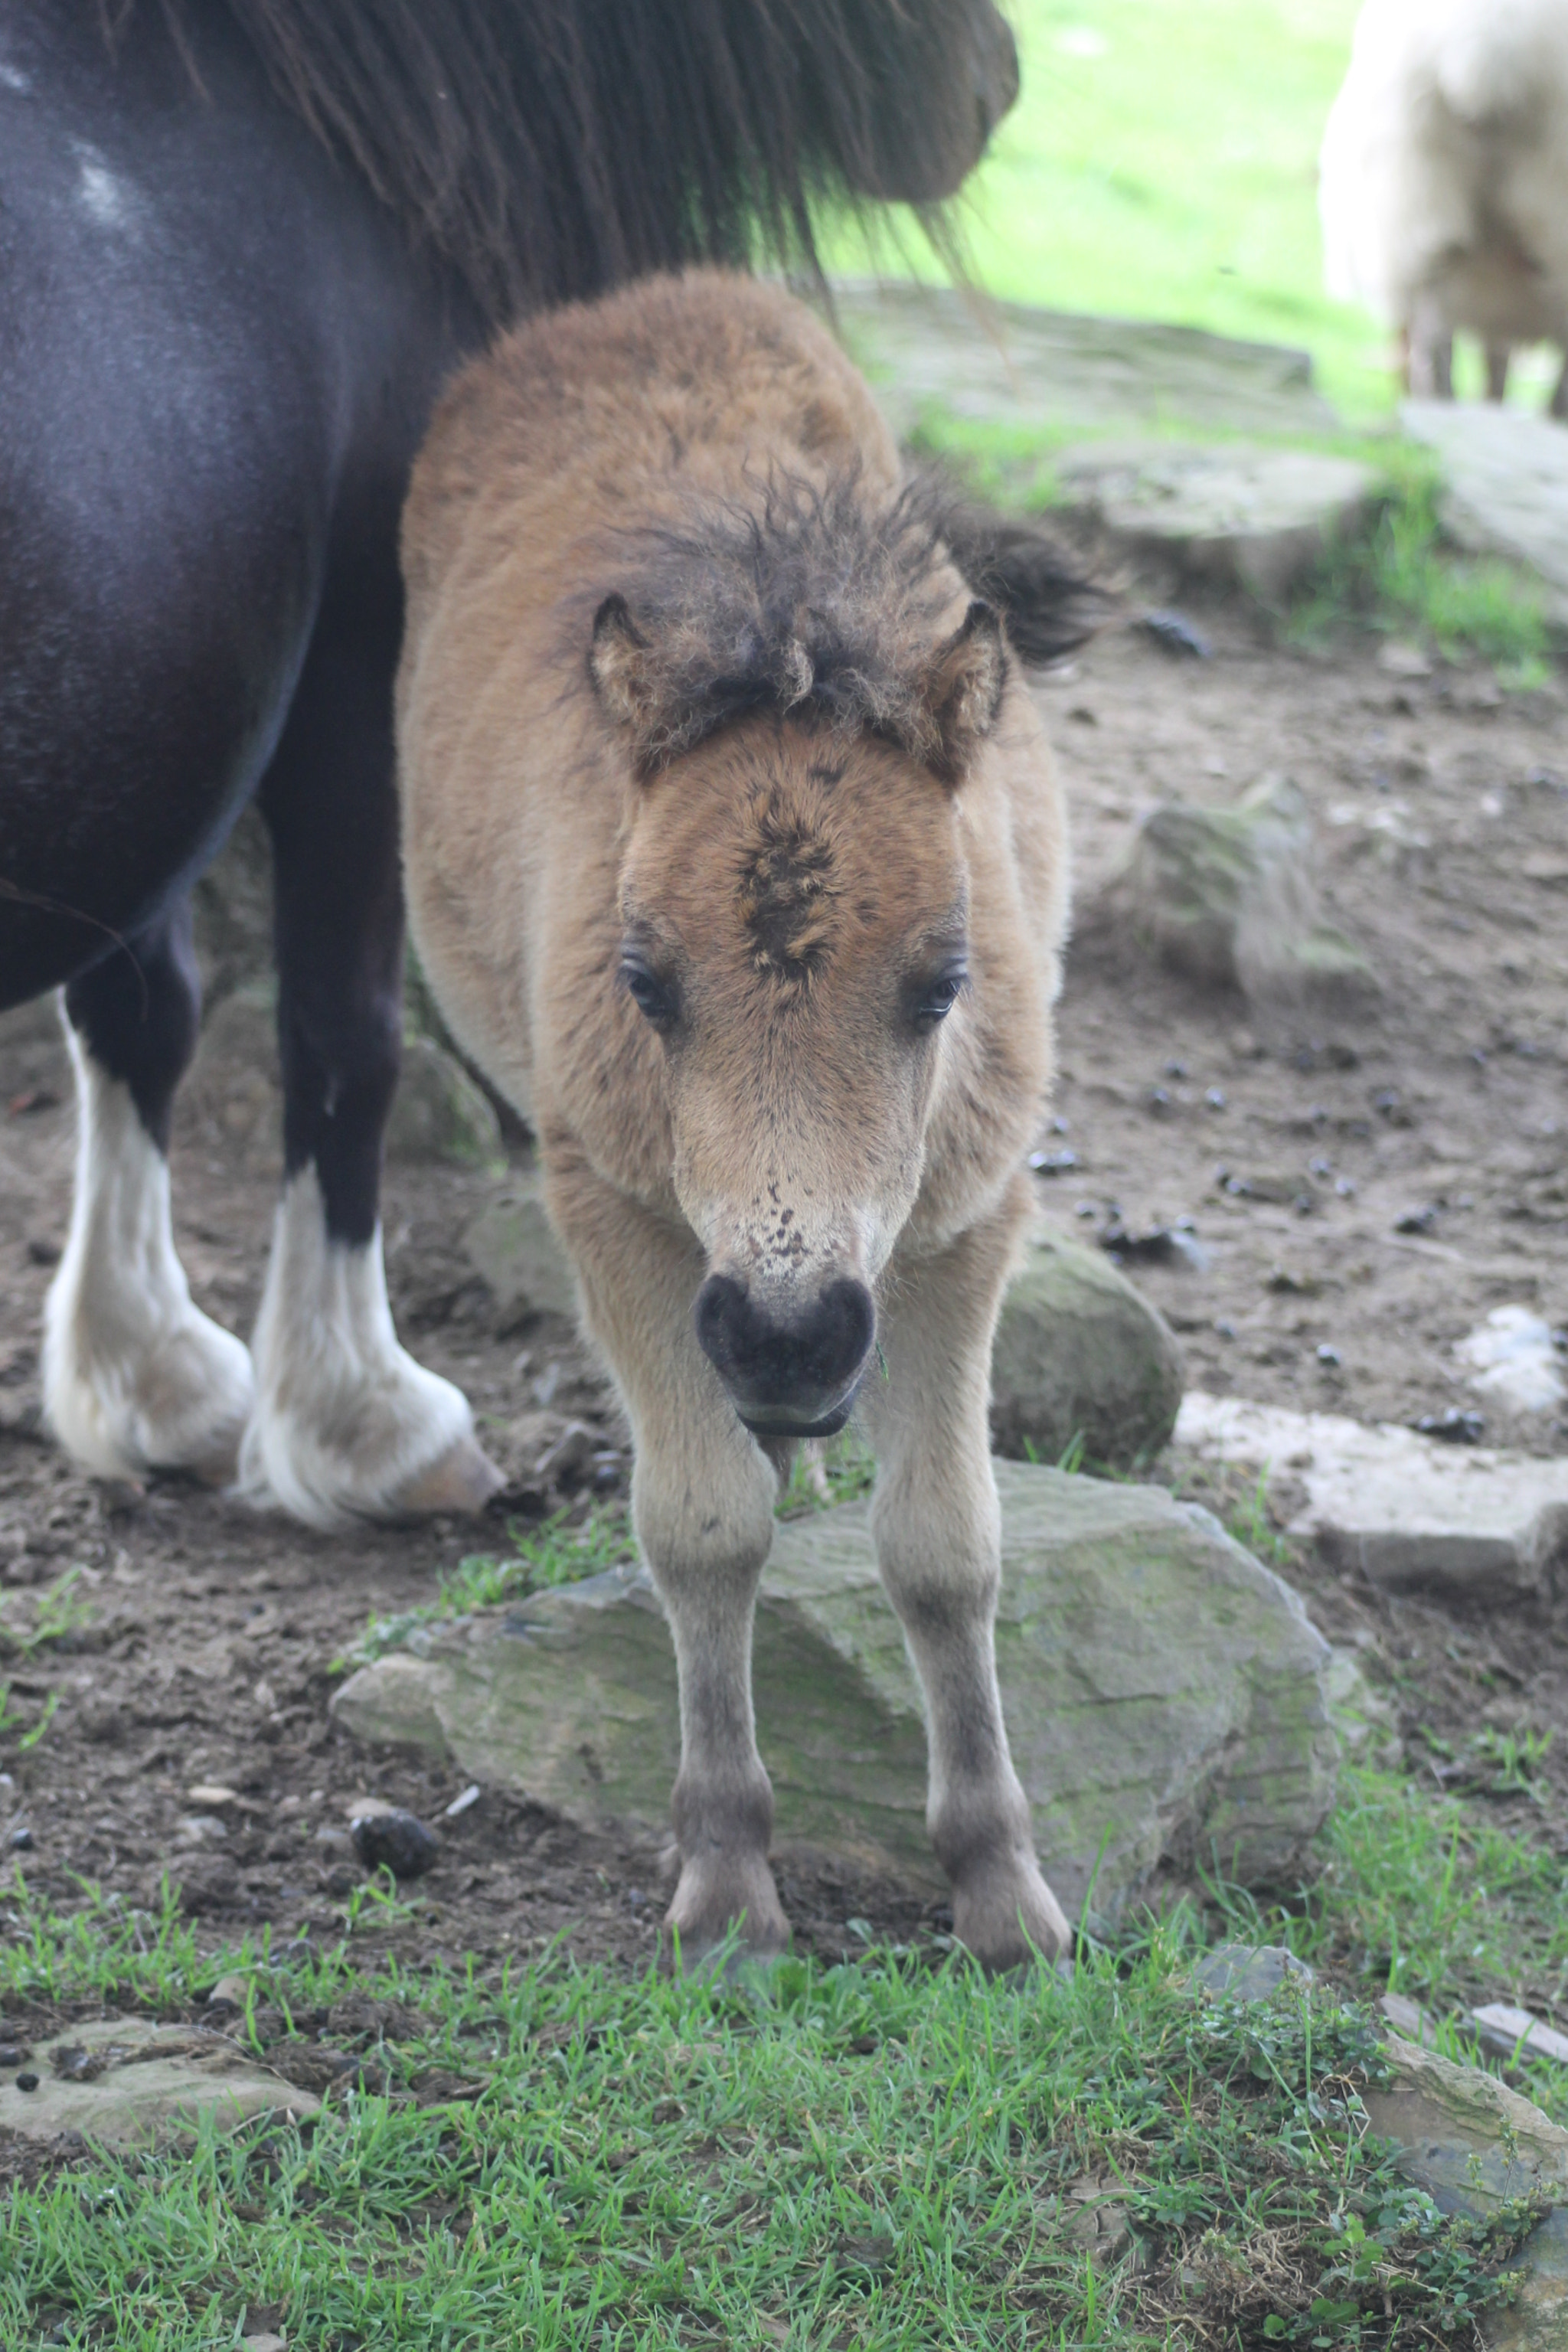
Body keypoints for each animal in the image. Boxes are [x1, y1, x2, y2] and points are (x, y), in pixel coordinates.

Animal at [0, 0, 1020, 1533]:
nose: (993, 86)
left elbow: (142, 1006)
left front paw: (146, 1370)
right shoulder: (363, 673)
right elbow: (341, 1034)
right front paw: (359, 1416)